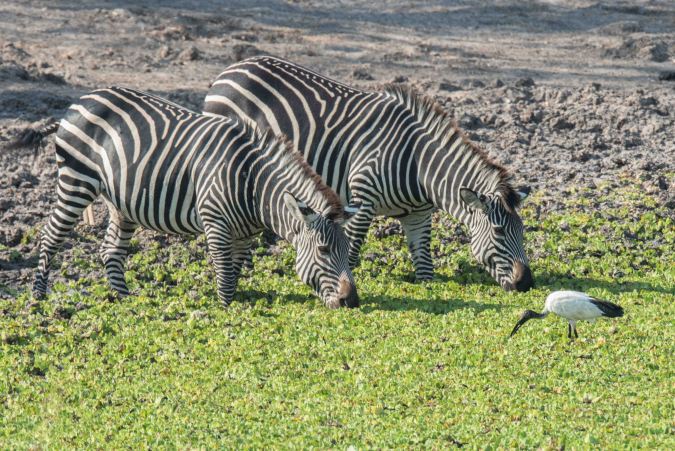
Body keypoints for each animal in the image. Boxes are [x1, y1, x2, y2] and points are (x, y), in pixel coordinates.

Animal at [16, 86, 360, 308]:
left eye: (347, 250)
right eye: (324, 250)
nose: (352, 302)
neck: (254, 185)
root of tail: (76, 104)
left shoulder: (244, 232)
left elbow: (235, 267)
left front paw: (239, 300)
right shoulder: (215, 220)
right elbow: (224, 270)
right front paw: (225, 308)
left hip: (120, 201)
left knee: (110, 249)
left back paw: (124, 298)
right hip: (76, 181)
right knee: (50, 236)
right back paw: (38, 297)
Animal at [203, 56, 534, 292]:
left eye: (523, 231)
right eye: (499, 231)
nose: (527, 284)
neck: (418, 164)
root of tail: (232, 69)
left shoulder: (419, 214)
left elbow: (424, 263)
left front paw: (427, 286)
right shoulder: (362, 199)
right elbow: (350, 251)